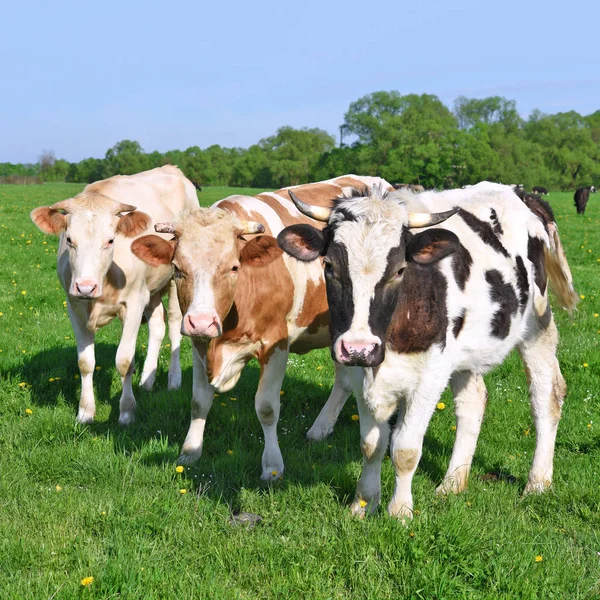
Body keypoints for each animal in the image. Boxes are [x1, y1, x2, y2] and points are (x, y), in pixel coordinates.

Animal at [29, 166, 199, 424]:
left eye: (110, 240)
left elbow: (124, 361)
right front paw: (85, 412)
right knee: (157, 325)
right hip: (152, 288)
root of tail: (171, 168)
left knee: (174, 324)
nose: (85, 286)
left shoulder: (134, 303)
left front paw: (127, 412)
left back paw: (174, 379)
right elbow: (85, 362)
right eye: (69, 240)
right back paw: (147, 380)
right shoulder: (74, 305)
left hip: (174, 281)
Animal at [130, 173, 394, 478]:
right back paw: (319, 429)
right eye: (177, 268)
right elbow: (198, 401)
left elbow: (267, 408)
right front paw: (190, 452)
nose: (201, 321)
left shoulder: (276, 344)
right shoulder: (199, 344)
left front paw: (272, 466)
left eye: (234, 267)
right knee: (343, 380)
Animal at [278, 180, 580, 516]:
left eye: (399, 270)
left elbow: (405, 448)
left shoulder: (430, 376)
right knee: (474, 402)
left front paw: (400, 512)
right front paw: (363, 504)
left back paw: (537, 482)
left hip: (536, 327)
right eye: (329, 265)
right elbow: (371, 445)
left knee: (546, 395)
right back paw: (452, 483)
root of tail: (522, 193)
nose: (359, 347)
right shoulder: (359, 372)